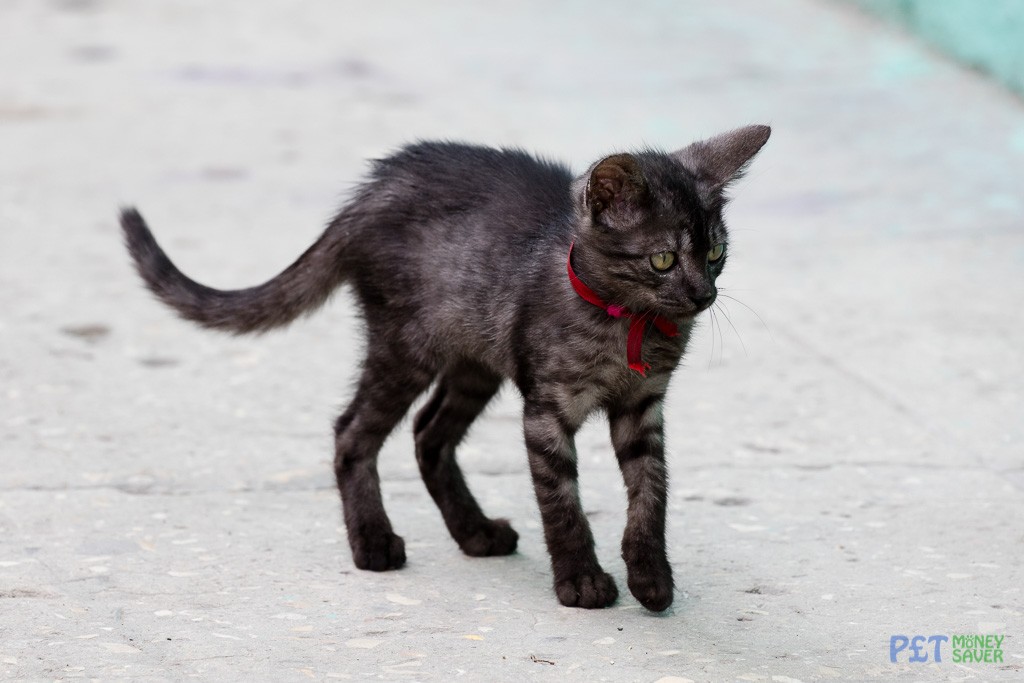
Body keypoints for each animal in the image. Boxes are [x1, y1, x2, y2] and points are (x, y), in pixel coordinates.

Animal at [121, 125, 770, 610]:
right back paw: (373, 541)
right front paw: (581, 580)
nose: (704, 295)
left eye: (716, 253)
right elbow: (561, 500)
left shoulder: (643, 407)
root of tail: (370, 190)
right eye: (663, 260)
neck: (625, 320)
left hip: (475, 361)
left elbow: (650, 493)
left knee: (428, 433)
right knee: (353, 431)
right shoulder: (547, 408)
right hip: (405, 347)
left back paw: (474, 531)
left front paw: (650, 576)